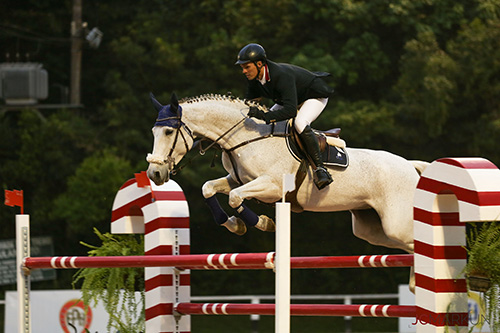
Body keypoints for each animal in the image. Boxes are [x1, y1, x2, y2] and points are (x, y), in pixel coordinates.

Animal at [146, 92, 428, 258]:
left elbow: (236, 197)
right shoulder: (238, 180)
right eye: (153, 132)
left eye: (168, 132)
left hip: (396, 223)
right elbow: (209, 188)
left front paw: (263, 223)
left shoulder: (271, 186)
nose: (155, 173)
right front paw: (234, 224)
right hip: (372, 228)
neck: (245, 137)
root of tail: (410, 166)